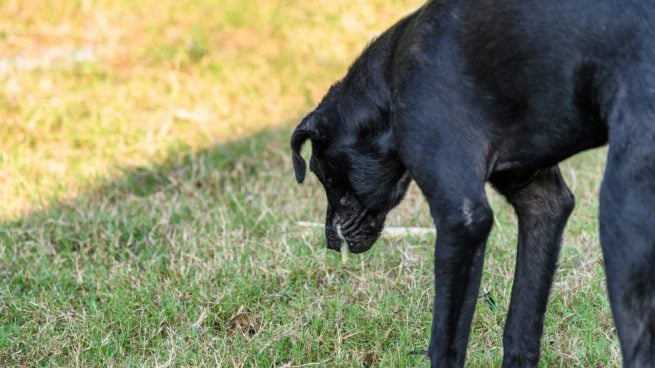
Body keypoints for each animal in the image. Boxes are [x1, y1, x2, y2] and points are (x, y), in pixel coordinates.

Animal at [292, 1, 655, 366]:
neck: (389, 79)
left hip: (622, 221)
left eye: (324, 174)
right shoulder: (541, 201)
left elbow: (445, 343)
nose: (329, 241)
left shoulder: (461, 219)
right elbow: (521, 330)